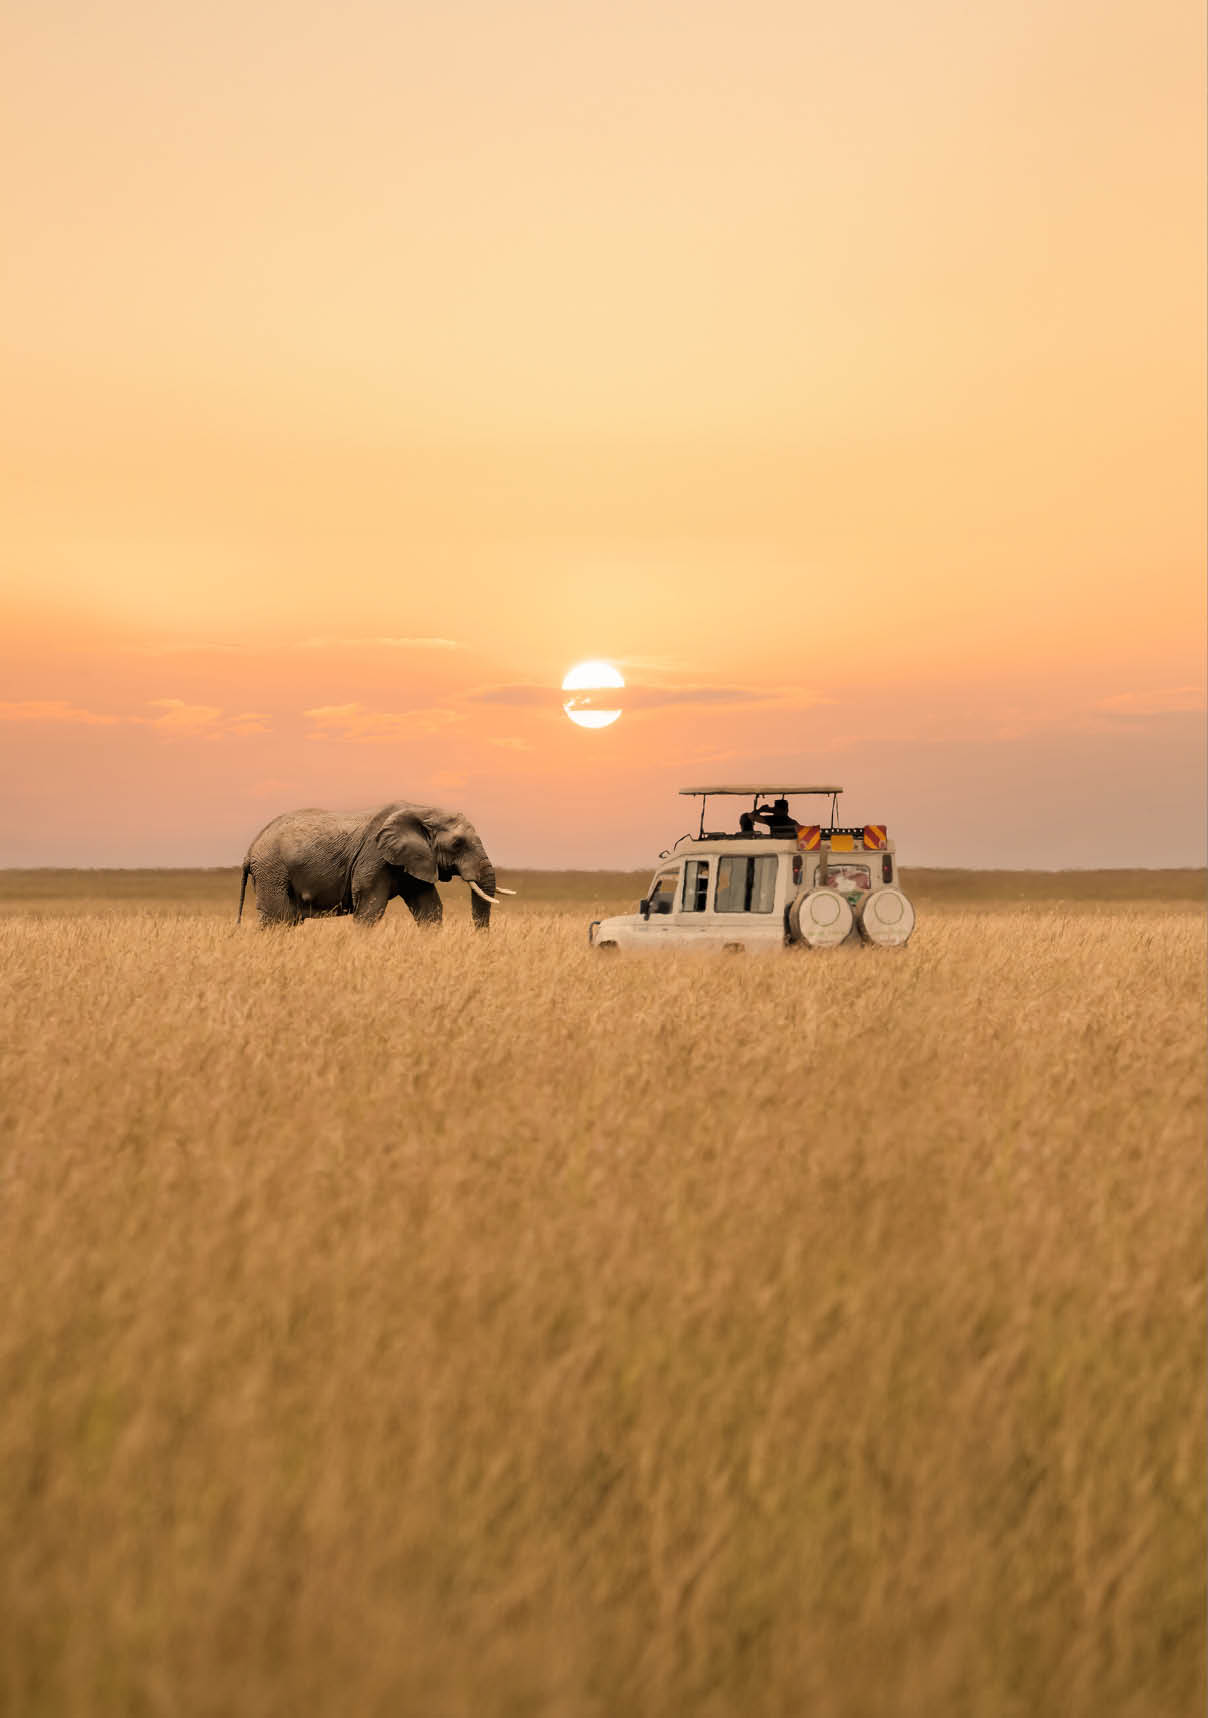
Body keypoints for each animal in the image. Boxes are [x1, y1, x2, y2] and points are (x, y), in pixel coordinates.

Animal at [237, 802, 513, 929]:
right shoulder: (374, 858)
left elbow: (430, 909)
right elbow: (370, 909)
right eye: (457, 843)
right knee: (277, 919)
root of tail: (250, 849)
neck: (422, 810)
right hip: (272, 871)